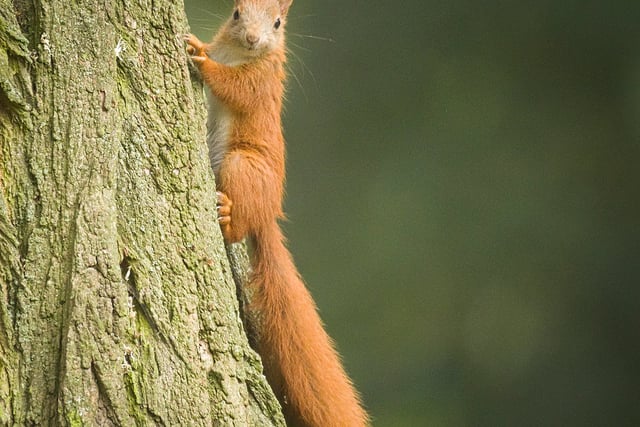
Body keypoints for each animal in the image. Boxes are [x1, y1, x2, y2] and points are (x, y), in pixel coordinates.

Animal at [184, 1, 369, 426]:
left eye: (279, 23)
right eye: (236, 13)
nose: (254, 38)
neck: (239, 54)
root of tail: (267, 213)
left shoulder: (260, 85)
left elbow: (233, 87)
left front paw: (200, 55)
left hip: (240, 165)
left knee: (237, 230)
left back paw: (226, 213)